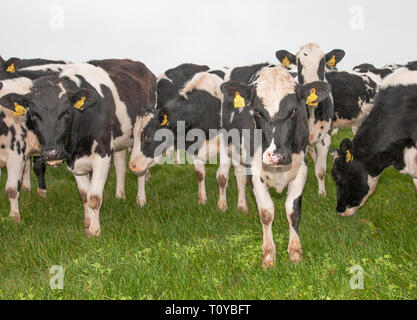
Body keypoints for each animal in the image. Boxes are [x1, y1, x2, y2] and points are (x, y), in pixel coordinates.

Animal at [0, 60, 156, 235]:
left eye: (66, 112)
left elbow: (94, 197)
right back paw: (120, 195)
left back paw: (141, 200)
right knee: (121, 164)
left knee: (140, 169)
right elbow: (84, 195)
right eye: (33, 114)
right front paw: (88, 223)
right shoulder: (73, 160)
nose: (52, 153)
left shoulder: (102, 154)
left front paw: (94, 231)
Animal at [128, 67, 249, 212]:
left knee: (239, 172)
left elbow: (221, 176)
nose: (132, 165)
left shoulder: (225, 146)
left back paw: (242, 205)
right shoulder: (194, 147)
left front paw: (222, 205)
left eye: (148, 135)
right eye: (133, 135)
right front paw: (202, 200)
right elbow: (200, 173)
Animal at [219, 63, 330, 266]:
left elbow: (293, 211)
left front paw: (295, 252)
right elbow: (266, 213)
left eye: (294, 110)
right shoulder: (256, 172)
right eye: (257, 111)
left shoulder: (301, 169)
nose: (276, 156)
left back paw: (242, 206)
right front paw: (268, 255)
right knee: (224, 175)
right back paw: (223, 204)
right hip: (225, 142)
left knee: (239, 176)